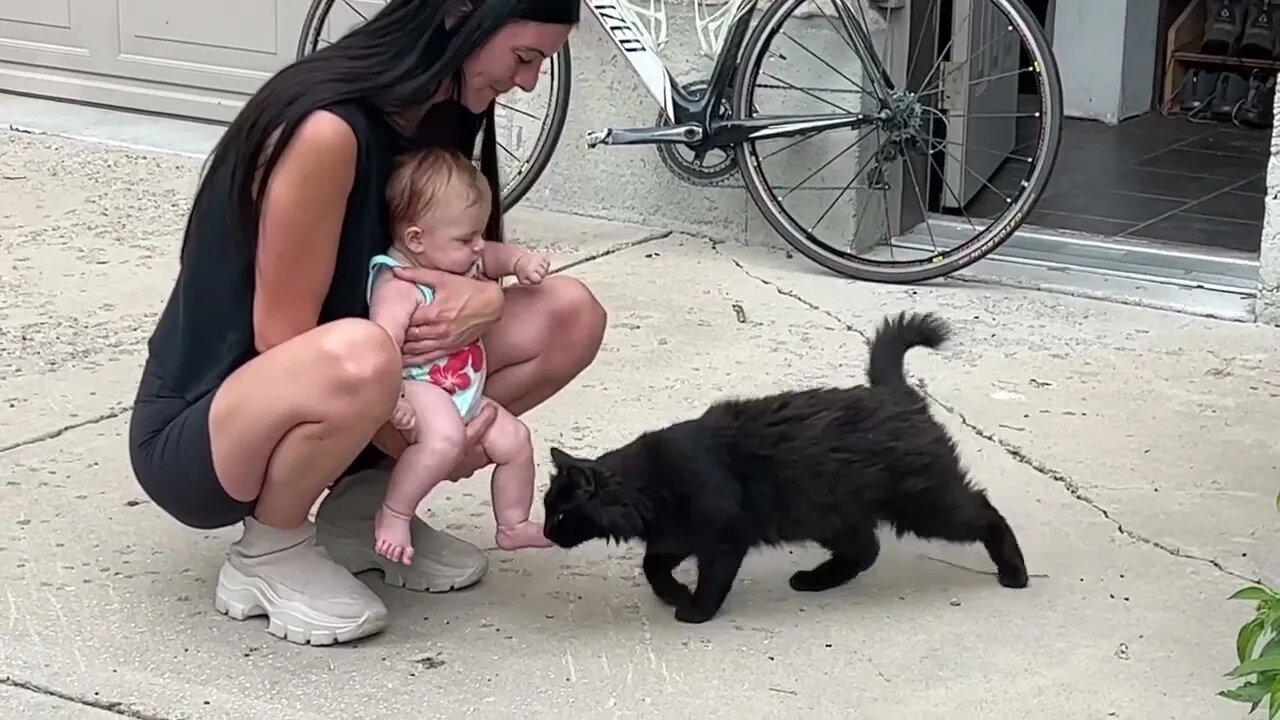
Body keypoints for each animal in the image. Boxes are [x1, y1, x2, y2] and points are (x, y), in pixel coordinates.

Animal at [542, 311, 1029, 620]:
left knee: (985, 513)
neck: (648, 483)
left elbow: (711, 578)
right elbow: (652, 566)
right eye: (547, 512)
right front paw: (673, 592)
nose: (545, 533)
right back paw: (815, 580)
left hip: (923, 505)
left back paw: (1015, 573)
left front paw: (695, 610)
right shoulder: (675, 534)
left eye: (562, 514)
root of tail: (892, 390)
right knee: (865, 550)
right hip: (832, 514)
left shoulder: (721, 536)